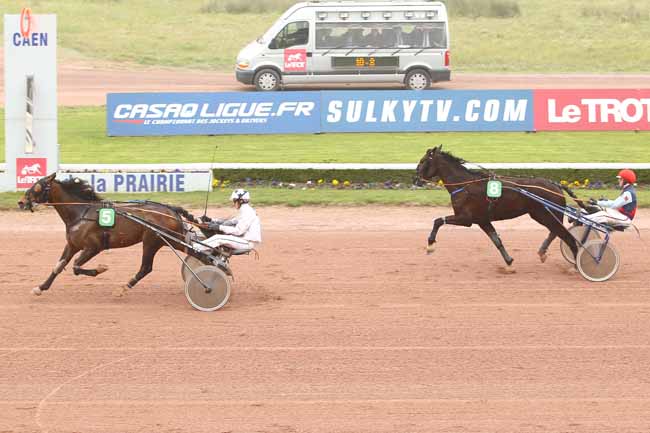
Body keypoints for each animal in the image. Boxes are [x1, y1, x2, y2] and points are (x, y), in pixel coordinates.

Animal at [17, 172, 195, 296]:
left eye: (37, 187)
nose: (21, 202)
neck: (80, 212)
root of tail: (171, 210)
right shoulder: (72, 245)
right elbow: (58, 266)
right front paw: (40, 287)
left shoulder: (94, 247)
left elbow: (76, 266)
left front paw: (101, 268)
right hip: (171, 240)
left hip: (151, 241)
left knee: (146, 268)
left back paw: (123, 288)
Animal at [412, 147, 576, 272]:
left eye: (423, 161)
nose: (415, 179)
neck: (464, 185)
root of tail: (556, 184)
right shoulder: (482, 220)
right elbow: (496, 241)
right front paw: (509, 263)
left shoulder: (466, 218)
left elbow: (438, 221)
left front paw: (430, 245)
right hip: (545, 215)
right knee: (556, 233)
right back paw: (543, 252)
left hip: (545, 215)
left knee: (567, 236)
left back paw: (575, 265)